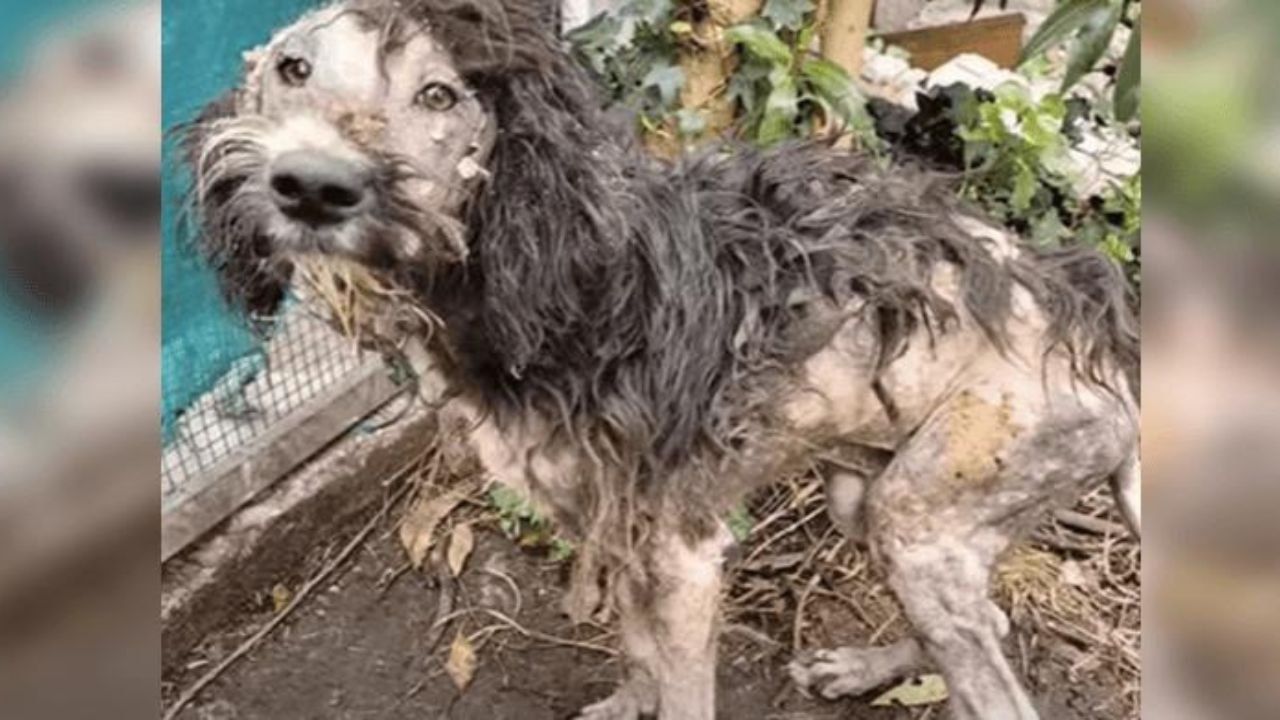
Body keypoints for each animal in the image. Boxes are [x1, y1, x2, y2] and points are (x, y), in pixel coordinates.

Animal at [186, 2, 1141, 712]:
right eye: (292, 69)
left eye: (439, 93)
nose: (312, 186)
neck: (554, 283)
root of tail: (1103, 334)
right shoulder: (604, 526)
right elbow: (635, 654)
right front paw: (623, 704)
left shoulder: (683, 558)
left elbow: (677, 683)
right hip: (869, 498)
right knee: (988, 621)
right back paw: (860, 668)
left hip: (924, 517)